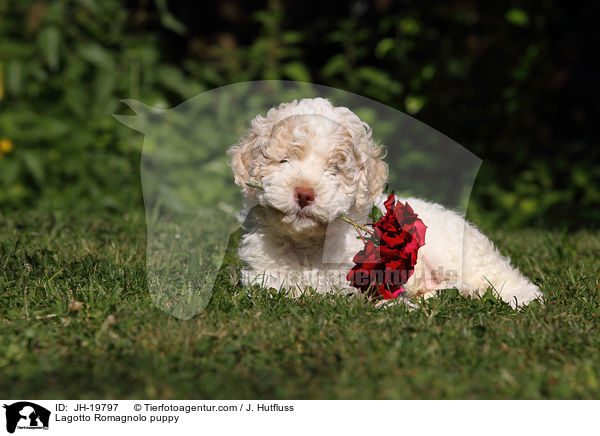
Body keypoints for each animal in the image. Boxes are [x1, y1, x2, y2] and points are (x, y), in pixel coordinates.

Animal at [226, 99, 544, 310]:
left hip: (454, 252)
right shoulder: (263, 275)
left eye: (335, 169)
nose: (304, 194)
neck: (308, 244)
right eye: (284, 161)